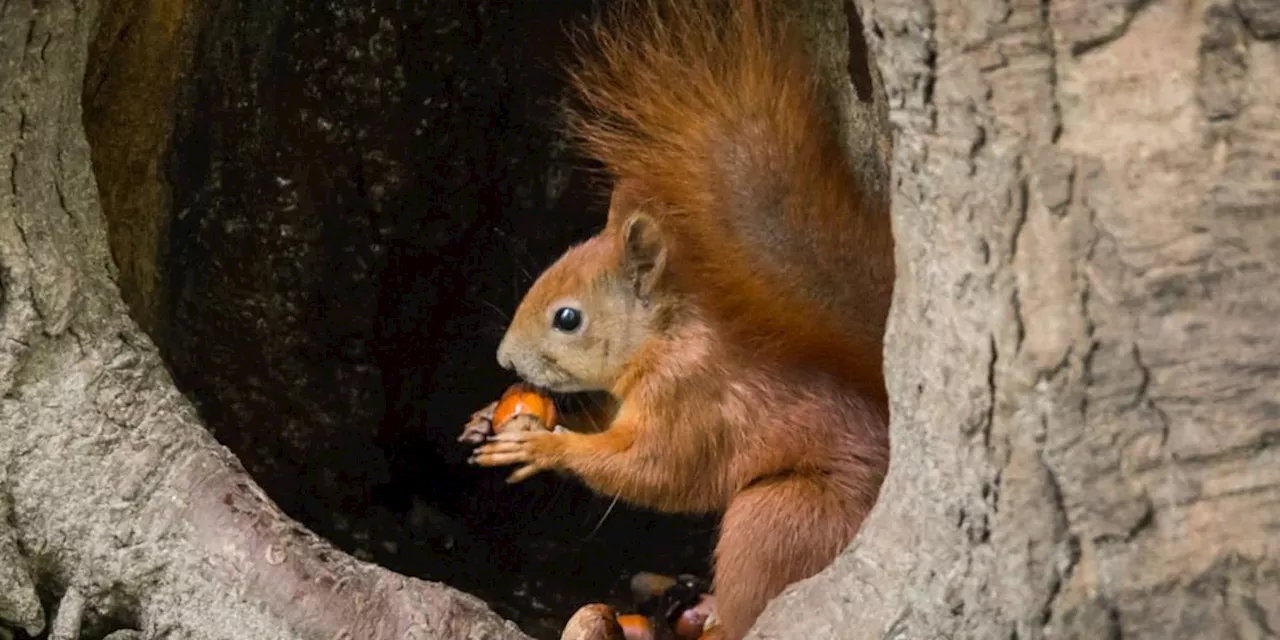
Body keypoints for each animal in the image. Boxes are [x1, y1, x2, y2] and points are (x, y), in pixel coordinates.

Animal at [471, 2, 890, 637]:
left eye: (567, 318)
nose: (503, 359)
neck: (663, 340)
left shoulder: (691, 398)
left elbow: (653, 470)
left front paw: (543, 449)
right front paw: (486, 420)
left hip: (778, 517)